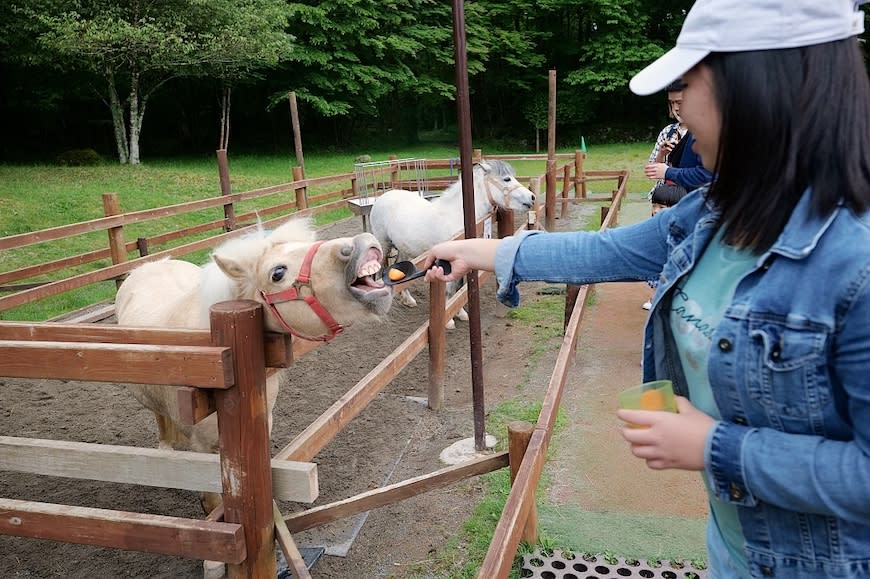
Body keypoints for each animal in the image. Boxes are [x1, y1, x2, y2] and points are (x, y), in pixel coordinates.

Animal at [370, 160, 536, 326]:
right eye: (506, 179)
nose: (532, 197)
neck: (457, 216)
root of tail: (384, 197)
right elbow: (450, 287)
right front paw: (449, 320)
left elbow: (459, 286)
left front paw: (460, 313)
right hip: (383, 244)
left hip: (404, 248)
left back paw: (408, 300)